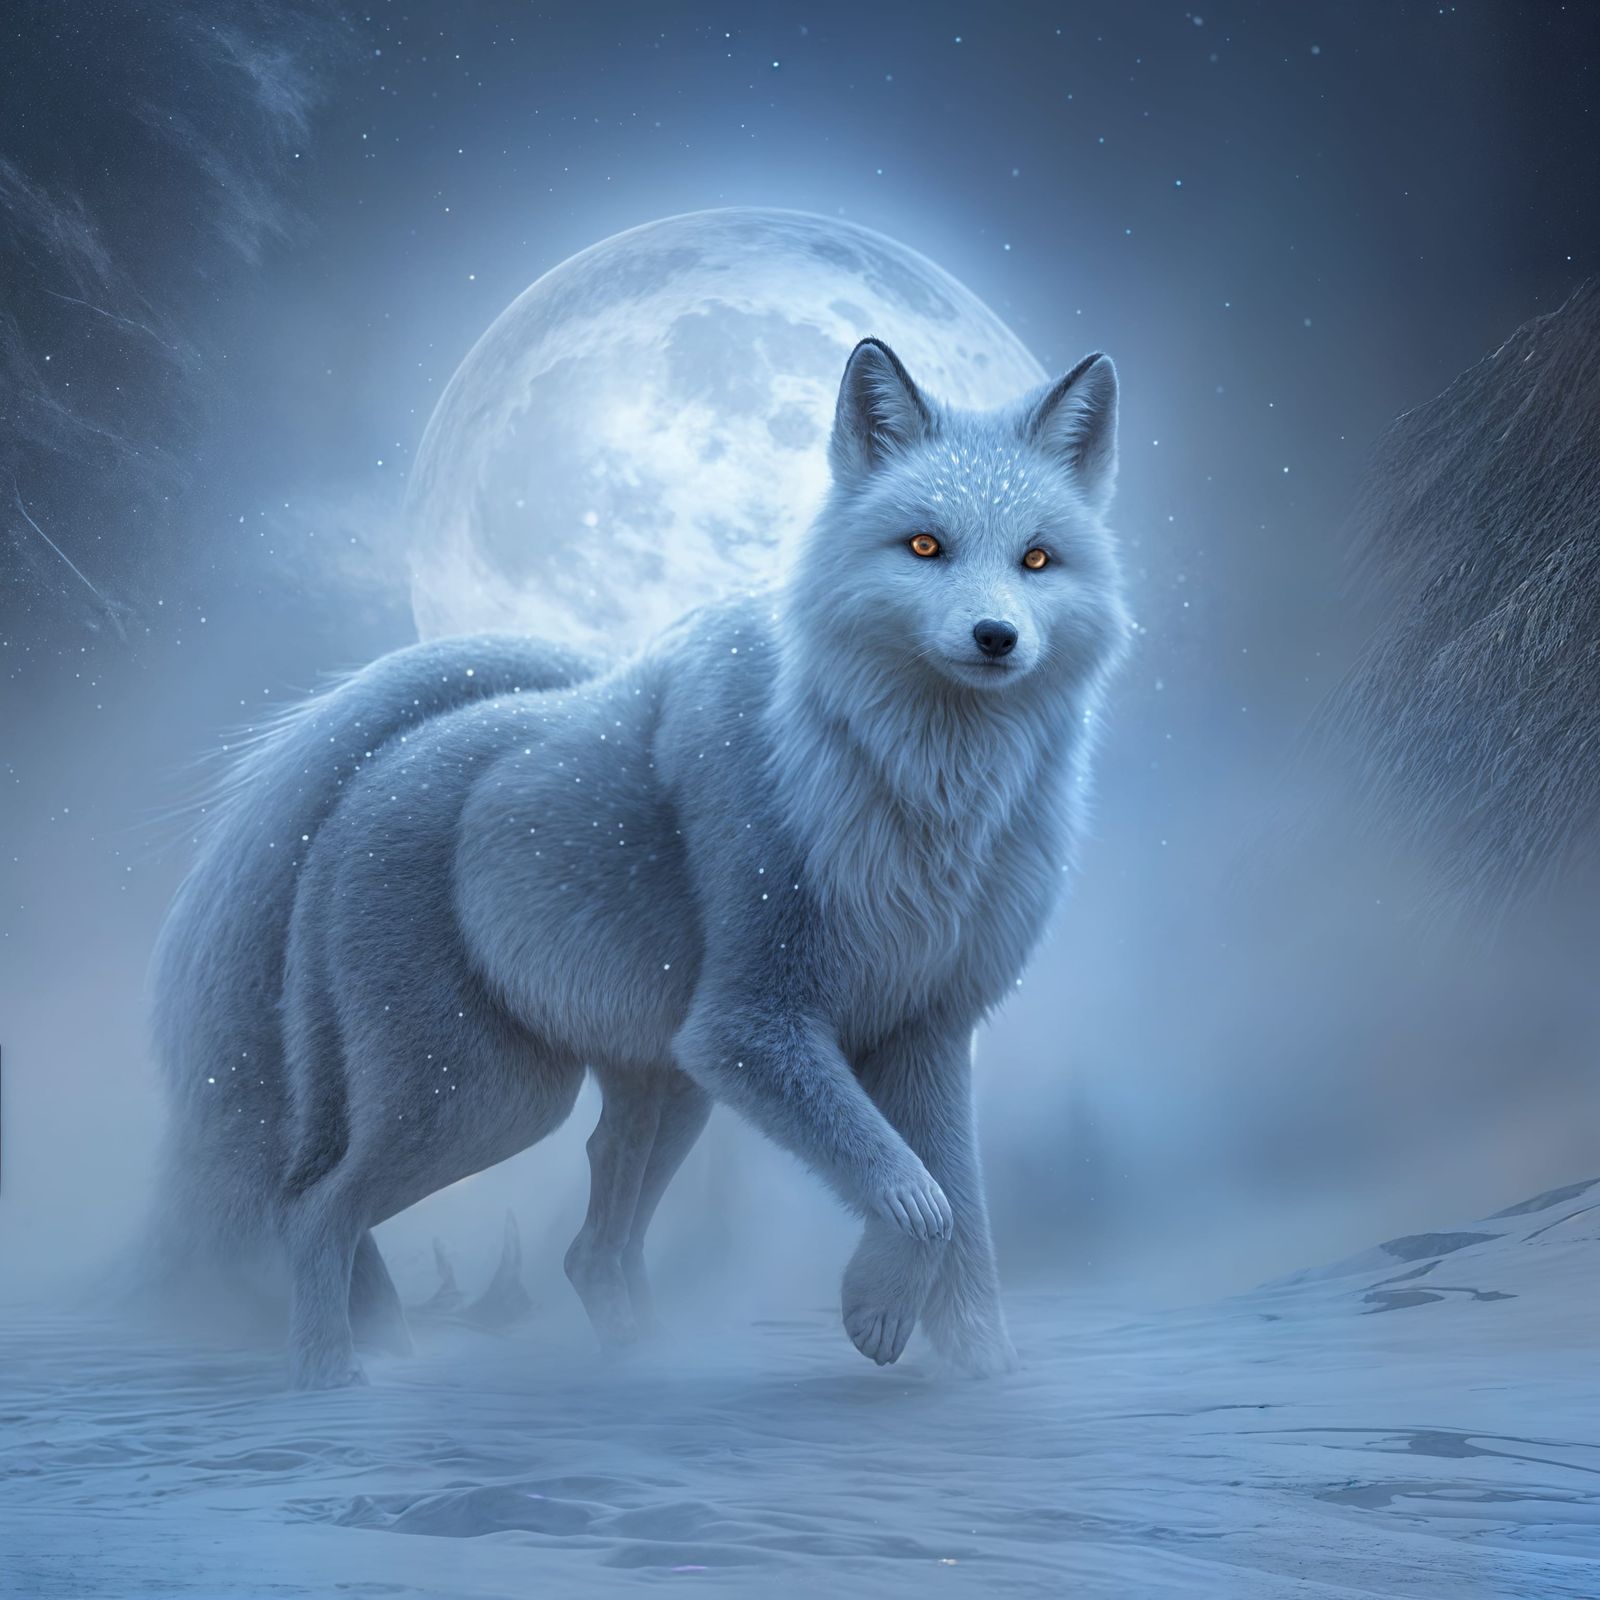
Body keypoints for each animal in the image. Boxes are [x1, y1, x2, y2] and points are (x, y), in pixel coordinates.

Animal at [149, 337, 1130, 1388]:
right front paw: (879, 1313)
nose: (996, 637)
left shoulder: (928, 1031)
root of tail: (360, 786)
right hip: (492, 1101)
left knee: (586, 1249)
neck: (922, 800)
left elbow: (960, 1207)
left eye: (1037, 558)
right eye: (924, 548)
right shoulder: (751, 1027)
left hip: (654, 1092)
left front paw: (980, 1366)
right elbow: (921, 1200)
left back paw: (638, 1369)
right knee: (314, 1209)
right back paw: (333, 1382)